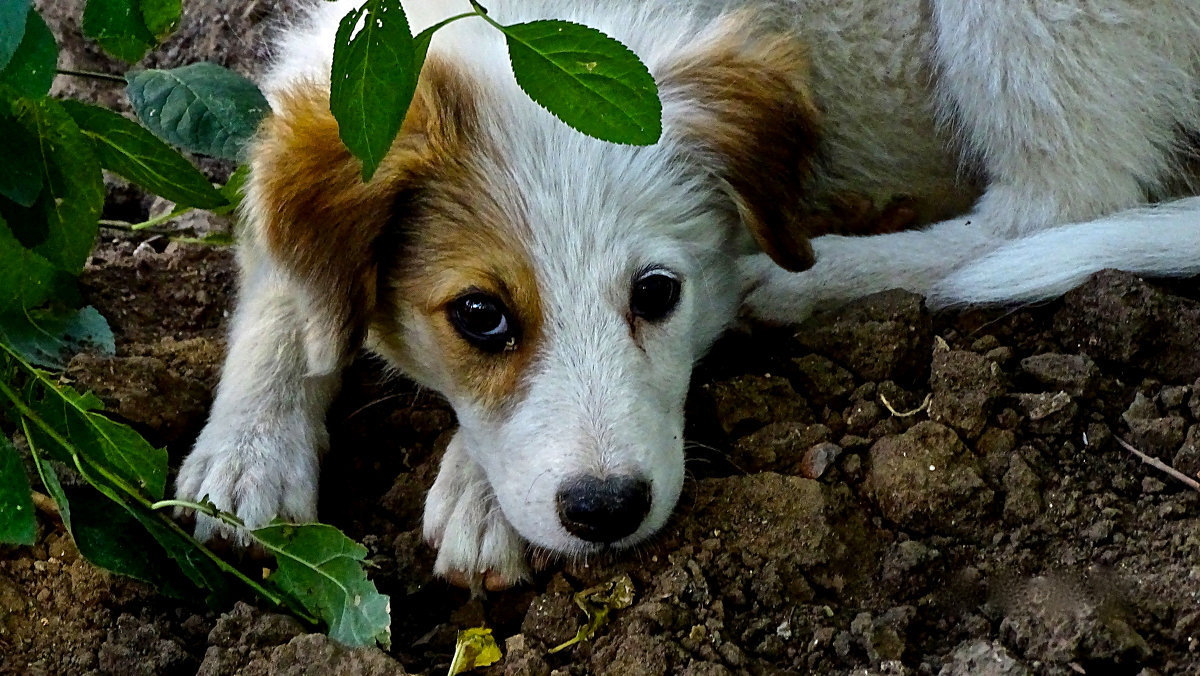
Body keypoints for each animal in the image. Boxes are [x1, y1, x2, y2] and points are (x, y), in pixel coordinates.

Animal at [175, 0, 1200, 590]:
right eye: (479, 316)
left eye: (658, 293)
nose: (605, 512)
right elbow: (286, 285)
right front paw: (248, 455)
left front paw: (477, 497)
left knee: (1060, 200)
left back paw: (810, 276)